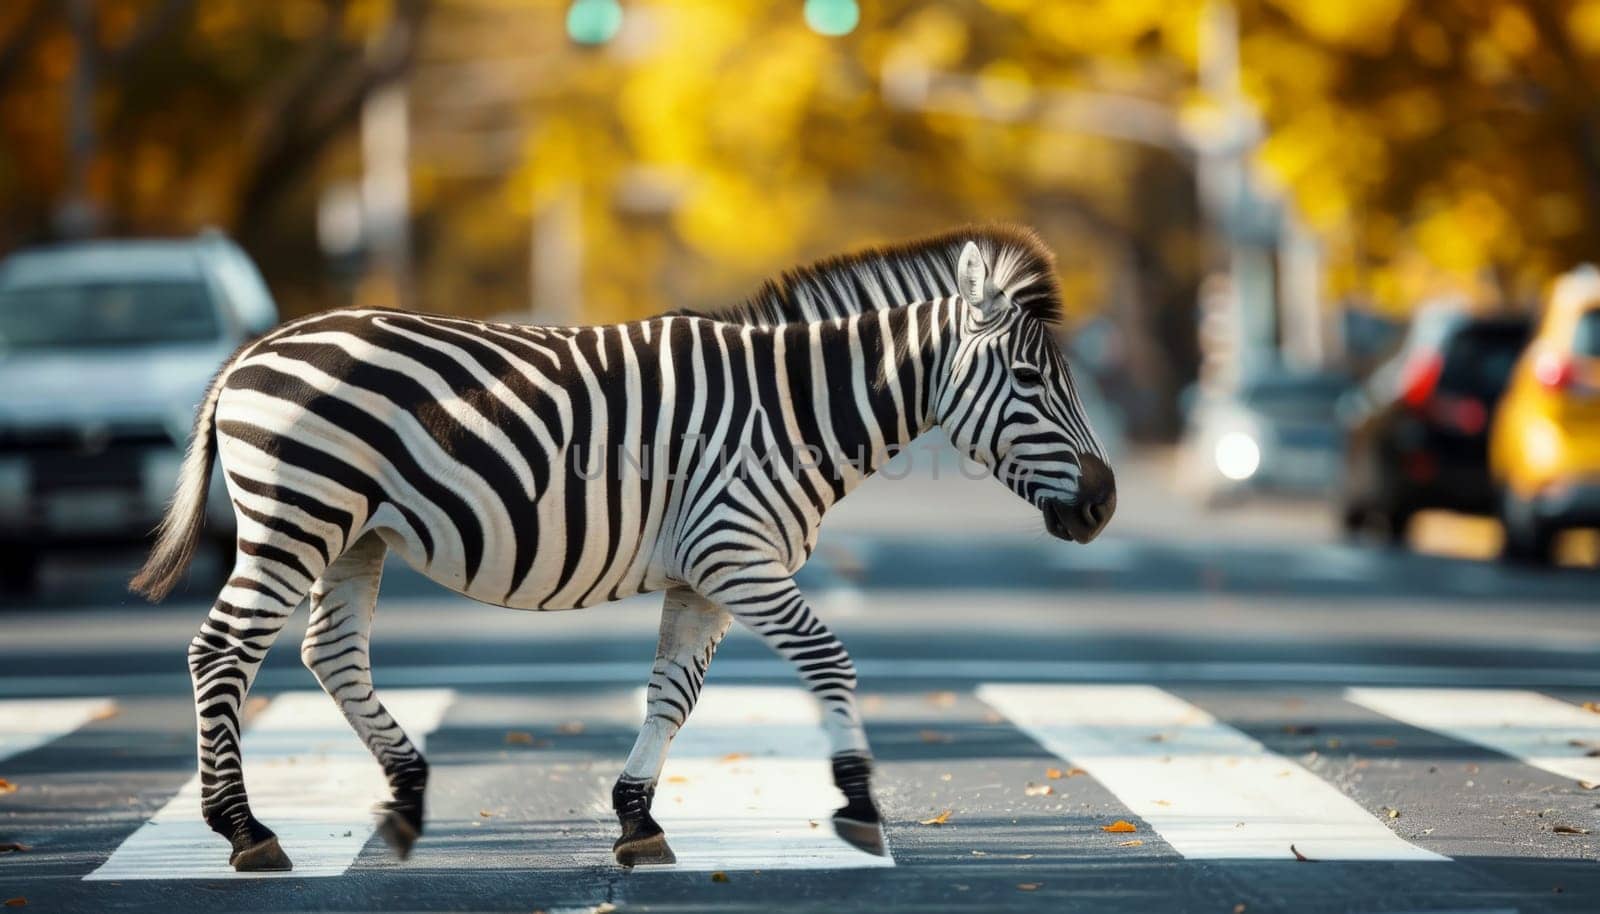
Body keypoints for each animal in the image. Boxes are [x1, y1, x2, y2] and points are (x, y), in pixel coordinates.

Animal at [131, 225, 1113, 877]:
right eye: (1030, 378)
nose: (1104, 505)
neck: (791, 412)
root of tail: (253, 350)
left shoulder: (704, 575)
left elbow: (671, 696)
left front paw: (637, 822)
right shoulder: (736, 556)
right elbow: (830, 662)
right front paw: (860, 805)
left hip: (354, 535)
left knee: (330, 655)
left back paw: (405, 797)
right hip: (297, 519)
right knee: (221, 651)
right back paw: (245, 830)